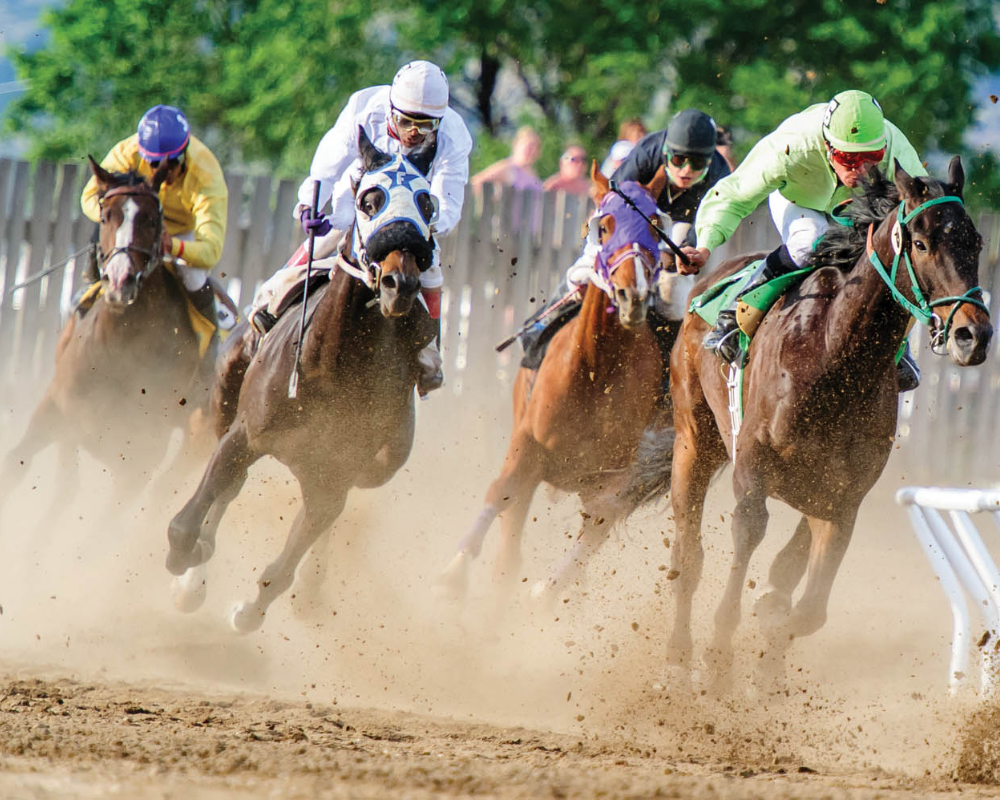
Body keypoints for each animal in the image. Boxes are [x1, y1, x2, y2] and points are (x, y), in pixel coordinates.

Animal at [0, 155, 203, 516]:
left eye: (152, 219)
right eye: (107, 215)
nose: (120, 280)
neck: (118, 353)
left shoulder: (139, 459)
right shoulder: (55, 408)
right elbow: (15, 466)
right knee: (65, 490)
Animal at [167, 131, 438, 632]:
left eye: (427, 203)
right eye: (369, 198)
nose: (400, 283)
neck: (330, 368)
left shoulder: (335, 477)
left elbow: (284, 566)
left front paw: (251, 609)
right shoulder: (244, 434)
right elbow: (190, 519)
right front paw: (187, 567)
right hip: (225, 400)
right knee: (229, 489)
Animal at [438, 170, 672, 608]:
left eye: (655, 226)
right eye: (603, 226)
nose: (632, 296)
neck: (596, 370)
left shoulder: (616, 473)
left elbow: (600, 521)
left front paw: (548, 591)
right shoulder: (527, 445)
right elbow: (501, 491)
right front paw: (453, 573)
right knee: (510, 532)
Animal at [668, 159, 988, 684]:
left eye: (976, 242)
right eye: (921, 243)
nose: (973, 335)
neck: (833, 356)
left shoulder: (842, 498)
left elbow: (805, 609)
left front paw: (767, 663)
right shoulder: (752, 472)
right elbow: (748, 538)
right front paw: (719, 663)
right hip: (695, 439)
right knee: (687, 558)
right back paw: (678, 659)